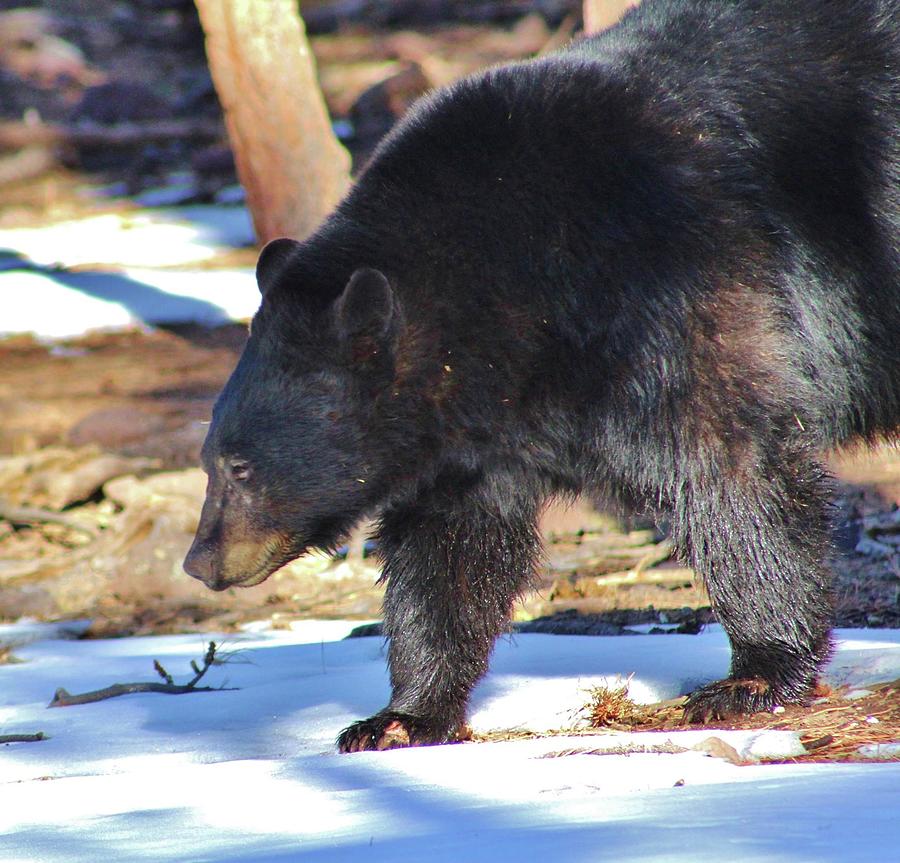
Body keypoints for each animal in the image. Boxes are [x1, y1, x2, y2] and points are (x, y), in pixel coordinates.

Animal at [183, 0, 900, 748]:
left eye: (239, 467)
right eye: (209, 458)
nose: (199, 560)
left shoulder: (675, 288)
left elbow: (732, 471)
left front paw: (754, 675)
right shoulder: (472, 437)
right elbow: (449, 551)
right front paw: (400, 717)